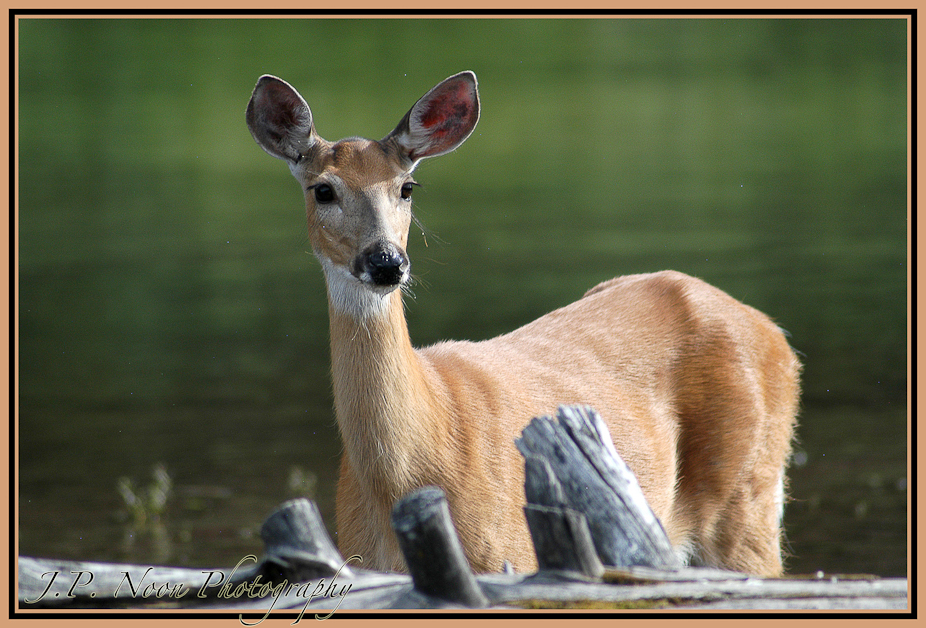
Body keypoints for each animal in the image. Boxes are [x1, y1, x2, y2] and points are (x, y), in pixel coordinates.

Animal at [248, 71, 804, 576]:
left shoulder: (511, 554)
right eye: (323, 190)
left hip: (748, 502)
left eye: (407, 187)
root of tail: (777, 335)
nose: (386, 261)